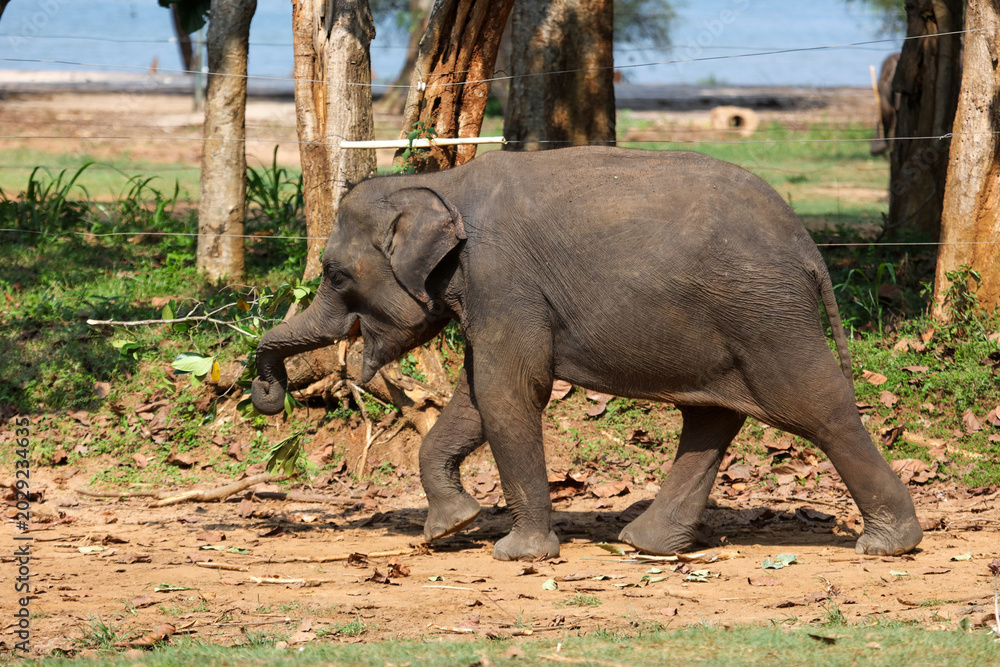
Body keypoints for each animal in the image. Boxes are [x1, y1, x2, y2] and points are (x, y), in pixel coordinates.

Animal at [251, 146, 923, 561]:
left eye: (337, 275)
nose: (268, 395)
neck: (441, 184)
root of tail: (808, 247)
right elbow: (476, 394)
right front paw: (451, 527)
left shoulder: (504, 277)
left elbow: (510, 391)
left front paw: (517, 553)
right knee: (713, 415)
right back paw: (645, 544)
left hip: (764, 313)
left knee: (816, 406)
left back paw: (888, 546)